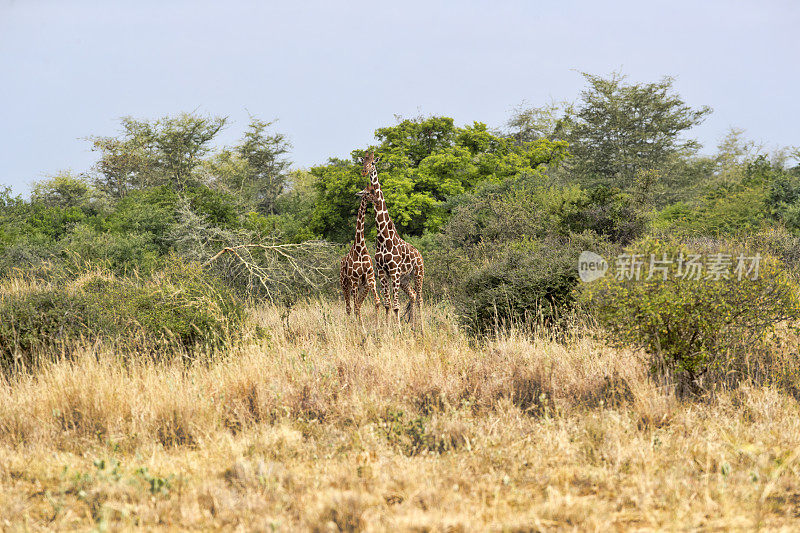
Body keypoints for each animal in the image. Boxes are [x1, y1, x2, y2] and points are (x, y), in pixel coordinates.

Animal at [340, 189, 382, 326]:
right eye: (368, 193)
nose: (377, 200)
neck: (360, 248)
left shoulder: (370, 279)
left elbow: (377, 301)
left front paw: (379, 324)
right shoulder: (354, 280)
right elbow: (355, 306)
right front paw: (361, 326)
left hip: (363, 287)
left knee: (357, 305)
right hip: (344, 283)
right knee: (349, 307)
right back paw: (351, 323)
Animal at [358, 150, 424, 330]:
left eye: (373, 163)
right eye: (362, 162)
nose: (365, 171)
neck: (383, 237)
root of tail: (419, 254)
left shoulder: (394, 271)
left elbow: (395, 305)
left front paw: (398, 329)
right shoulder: (382, 271)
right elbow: (387, 304)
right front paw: (387, 329)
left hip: (418, 273)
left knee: (420, 298)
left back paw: (421, 328)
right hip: (405, 279)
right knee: (413, 295)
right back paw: (413, 325)